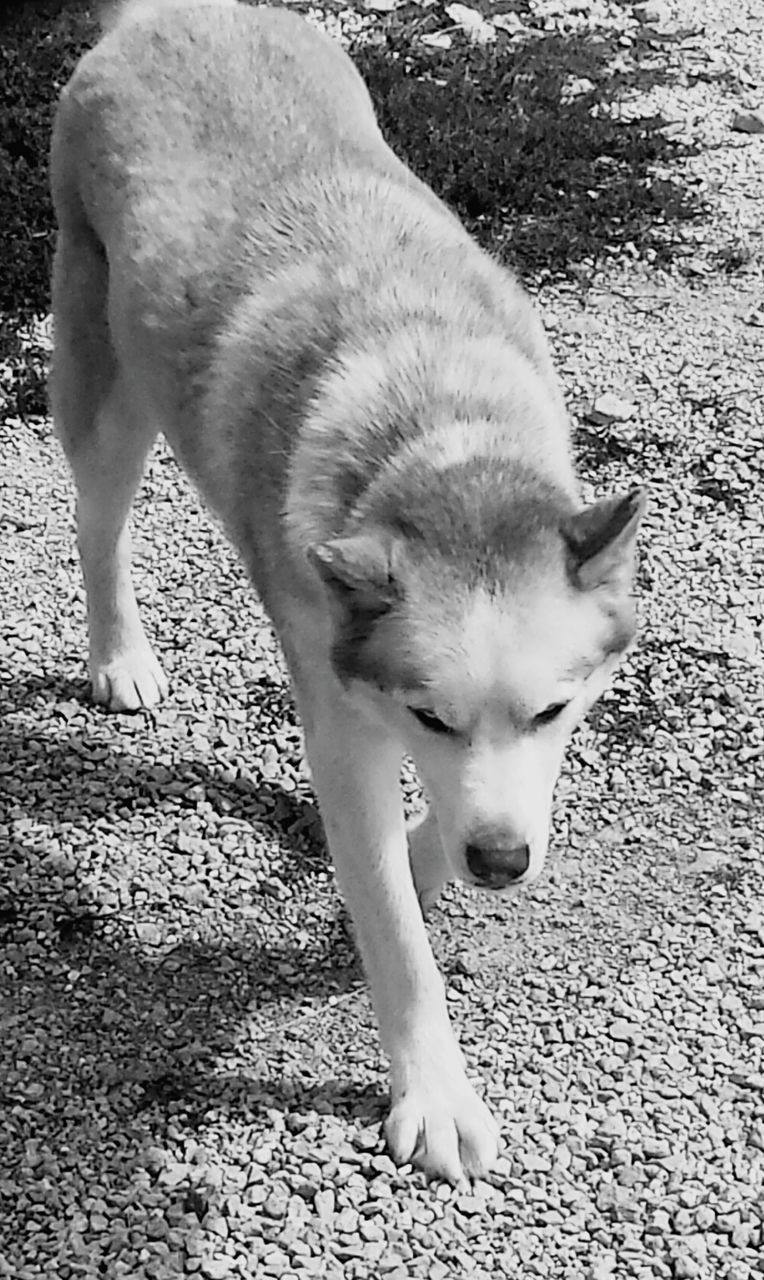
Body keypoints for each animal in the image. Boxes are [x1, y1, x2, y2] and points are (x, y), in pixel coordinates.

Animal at [49, 0, 642, 1177]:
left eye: (554, 710)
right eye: (429, 715)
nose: (503, 865)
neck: (436, 433)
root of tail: (164, 12)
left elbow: (431, 839)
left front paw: (426, 856)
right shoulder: (346, 722)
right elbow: (394, 934)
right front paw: (435, 1094)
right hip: (105, 386)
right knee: (98, 522)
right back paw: (119, 655)